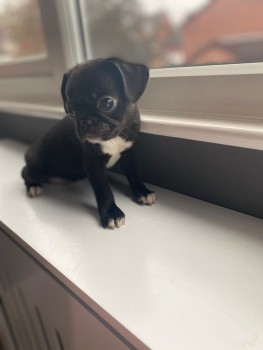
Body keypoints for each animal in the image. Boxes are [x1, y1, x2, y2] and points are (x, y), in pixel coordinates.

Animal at [21, 56, 157, 230]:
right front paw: (111, 213)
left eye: (107, 103)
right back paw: (33, 186)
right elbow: (104, 189)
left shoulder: (129, 152)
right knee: (25, 172)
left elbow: (134, 173)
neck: (114, 137)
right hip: (38, 167)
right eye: (71, 111)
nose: (85, 122)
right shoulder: (93, 163)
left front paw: (142, 191)